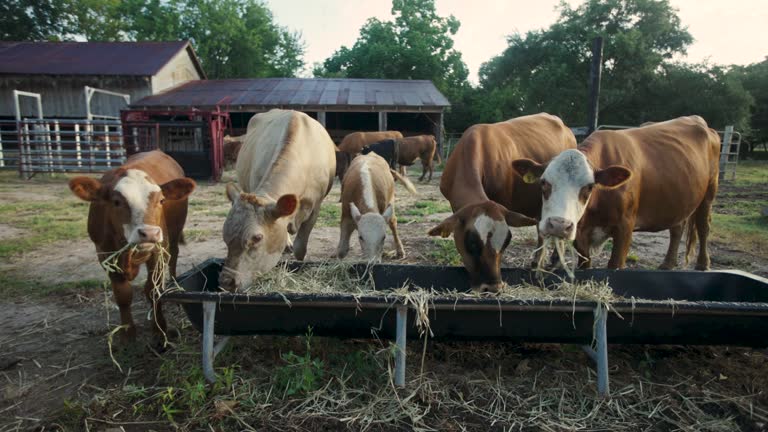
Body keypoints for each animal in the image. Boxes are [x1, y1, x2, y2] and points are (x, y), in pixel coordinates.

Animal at [512, 115, 724, 270]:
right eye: (543, 183)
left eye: (589, 187)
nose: (558, 225)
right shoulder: (581, 233)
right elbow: (584, 264)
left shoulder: (625, 228)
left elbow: (614, 265)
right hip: (677, 201)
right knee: (677, 228)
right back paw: (667, 264)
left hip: (709, 193)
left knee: (703, 227)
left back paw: (703, 264)